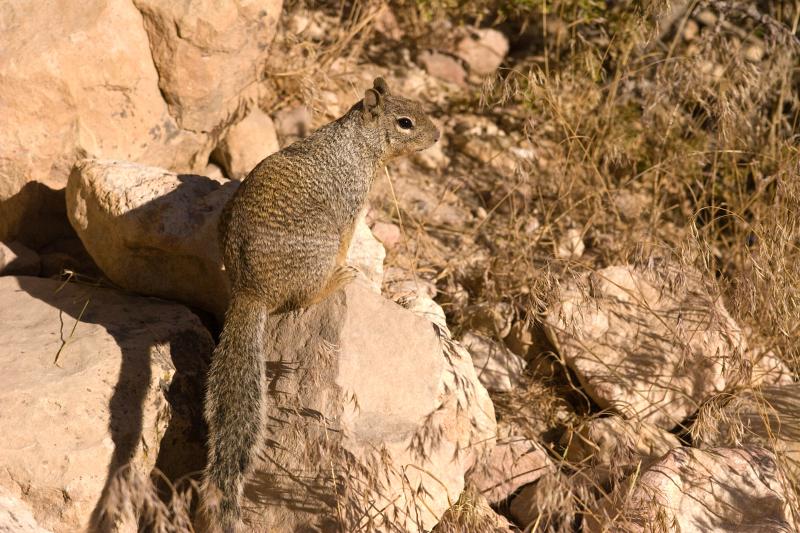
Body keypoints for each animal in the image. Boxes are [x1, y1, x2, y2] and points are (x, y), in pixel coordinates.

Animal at [200, 77, 438, 528]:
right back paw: (336, 280)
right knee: (303, 298)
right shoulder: (351, 207)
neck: (357, 141)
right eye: (405, 122)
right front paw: (349, 264)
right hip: (317, 253)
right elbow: (349, 237)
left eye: (418, 106)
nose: (436, 136)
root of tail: (250, 292)